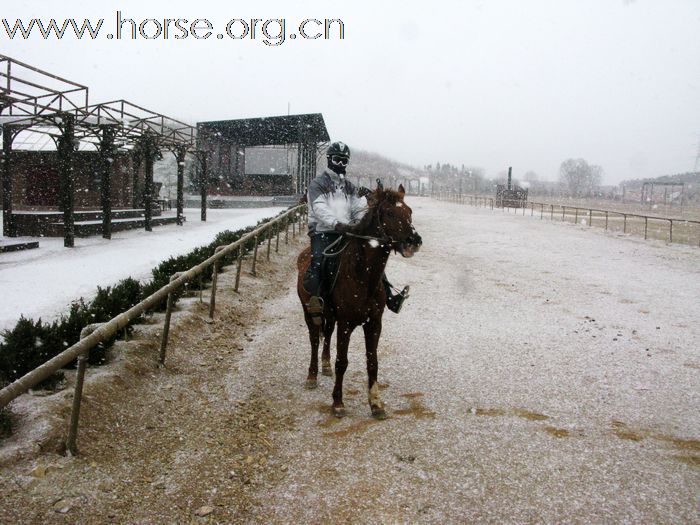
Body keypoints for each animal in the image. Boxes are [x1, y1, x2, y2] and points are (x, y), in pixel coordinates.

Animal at [296, 183, 422, 418]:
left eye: (409, 212)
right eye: (390, 213)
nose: (414, 241)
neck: (362, 275)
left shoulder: (374, 323)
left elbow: (372, 362)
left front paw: (376, 404)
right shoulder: (346, 323)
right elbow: (342, 362)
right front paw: (337, 403)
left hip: (331, 316)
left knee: (326, 334)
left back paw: (324, 366)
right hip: (309, 312)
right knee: (314, 339)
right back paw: (312, 375)